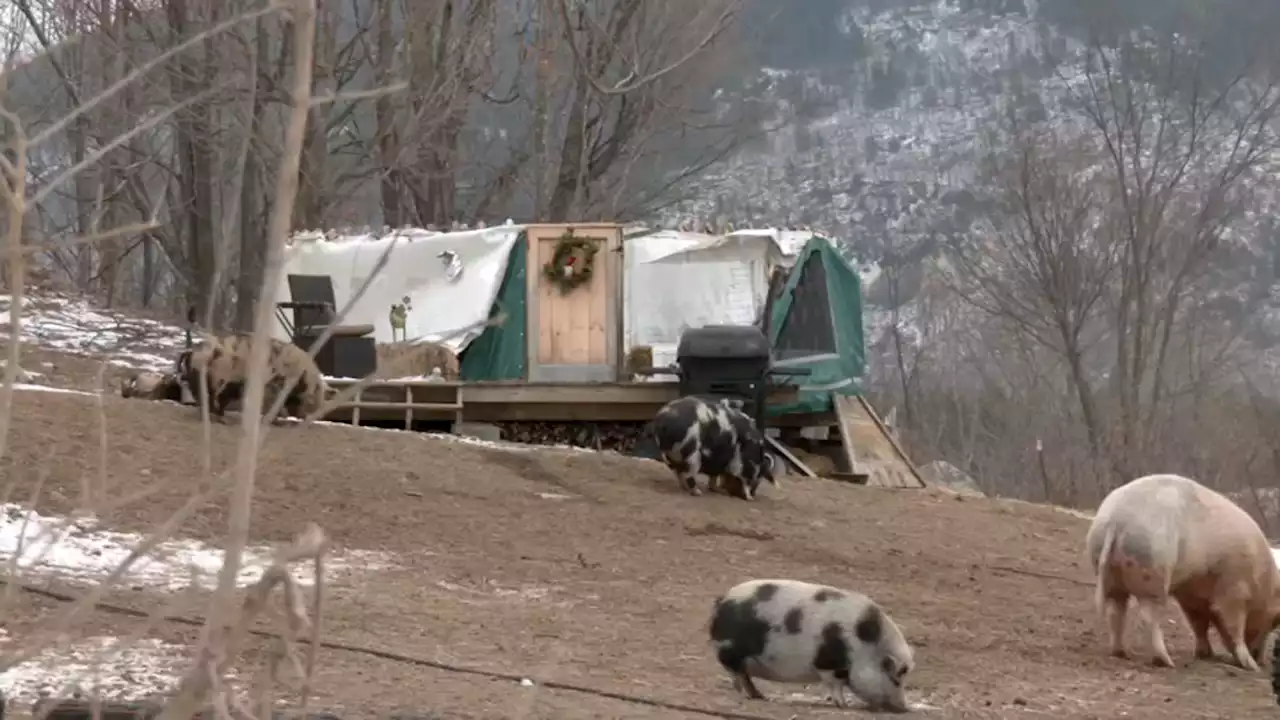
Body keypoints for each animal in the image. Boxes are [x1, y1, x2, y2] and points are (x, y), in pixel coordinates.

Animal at [645, 392, 773, 499]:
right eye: (760, 475)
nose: (753, 494)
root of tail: (663, 421)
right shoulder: (740, 465)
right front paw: (749, 498)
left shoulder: (719, 462)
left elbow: (714, 477)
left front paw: (720, 490)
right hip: (693, 456)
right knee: (688, 475)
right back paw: (697, 492)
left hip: (668, 456)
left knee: (678, 474)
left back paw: (686, 488)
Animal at [711, 573, 911, 707]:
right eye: (896, 679)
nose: (904, 707)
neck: (866, 648)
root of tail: (722, 601)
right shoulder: (829, 664)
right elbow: (835, 684)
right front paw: (843, 705)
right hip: (731, 652)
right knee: (738, 676)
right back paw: (752, 696)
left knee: (743, 677)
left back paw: (760, 696)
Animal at [1085, 471, 1280, 666]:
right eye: (1274, 621)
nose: (1261, 660)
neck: (1262, 582)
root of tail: (1115, 520)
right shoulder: (1234, 590)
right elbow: (1232, 625)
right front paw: (1251, 666)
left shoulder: (1191, 594)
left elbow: (1199, 623)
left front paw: (1206, 655)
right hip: (1152, 571)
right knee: (1149, 616)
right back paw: (1166, 662)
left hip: (1110, 571)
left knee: (1115, 610)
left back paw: (1120, 653)